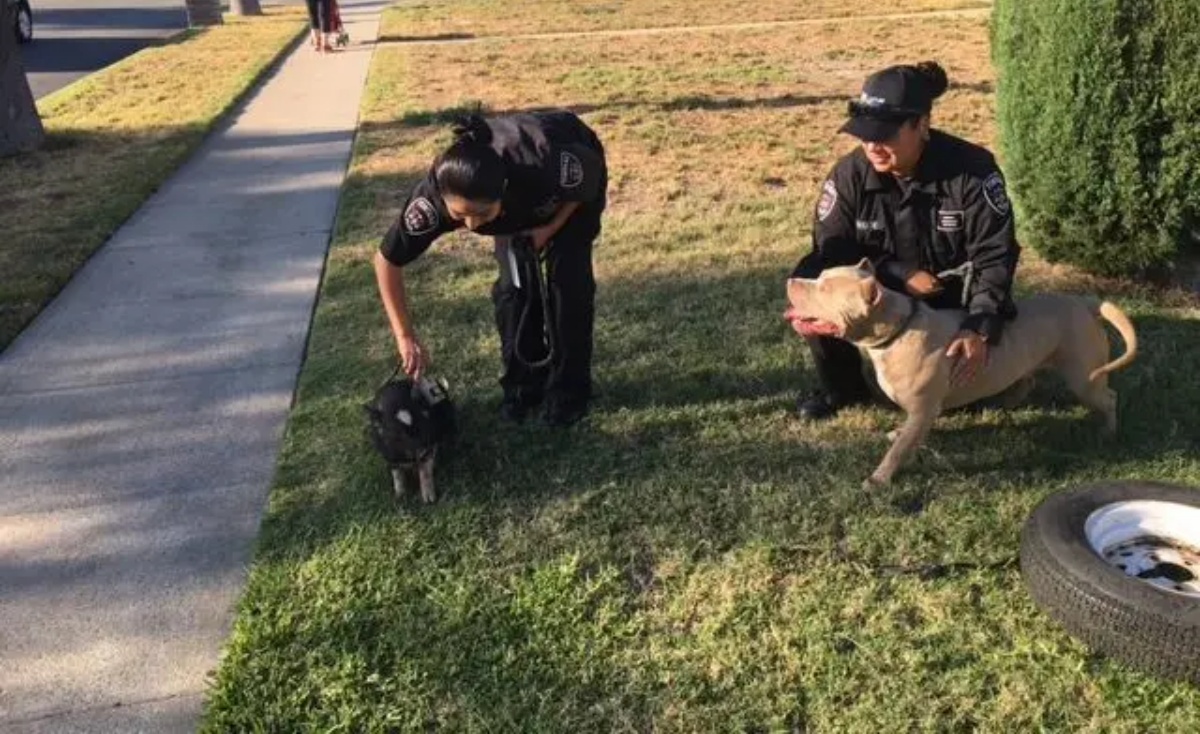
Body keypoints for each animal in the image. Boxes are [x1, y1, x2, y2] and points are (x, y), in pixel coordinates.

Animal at [782, 257, 1137, 486]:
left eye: (825, 289)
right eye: (820, 277)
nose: (791, 281)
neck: (898, 329)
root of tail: (1086, 303)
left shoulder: (923, 408)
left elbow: (898, 451)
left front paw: (879, 478)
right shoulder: (921, 411)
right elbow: (907, 435)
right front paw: (898, 435)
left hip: (1084, 379)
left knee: (1109, 397)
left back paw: (1108, 432)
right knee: (1027, 378)